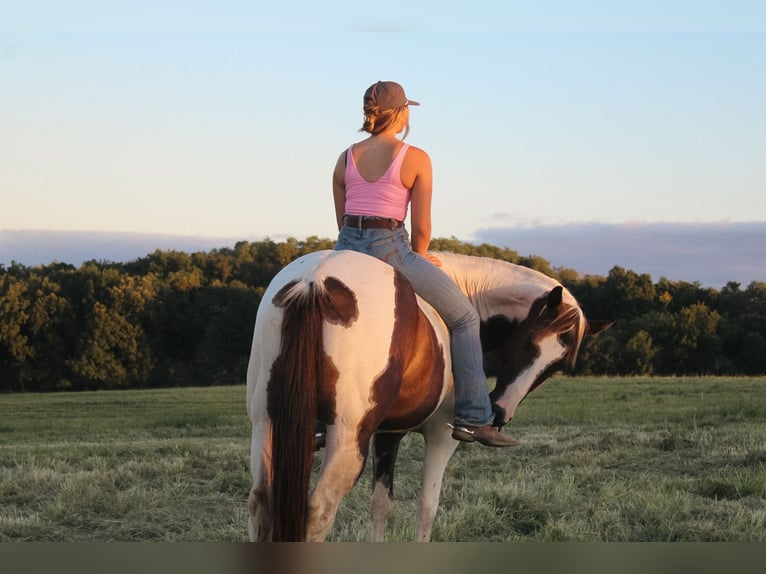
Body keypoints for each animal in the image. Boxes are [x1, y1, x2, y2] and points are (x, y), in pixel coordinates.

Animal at [246, 249, 611, 542]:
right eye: (528, 344)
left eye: (558, 365)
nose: (501, 411)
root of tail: (314, 283)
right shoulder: (441, 436)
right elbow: (427, 507)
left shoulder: (387, 434)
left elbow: (381, 505)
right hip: (347, 442)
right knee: (318, 511)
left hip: (267, 425)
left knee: (260, 505)